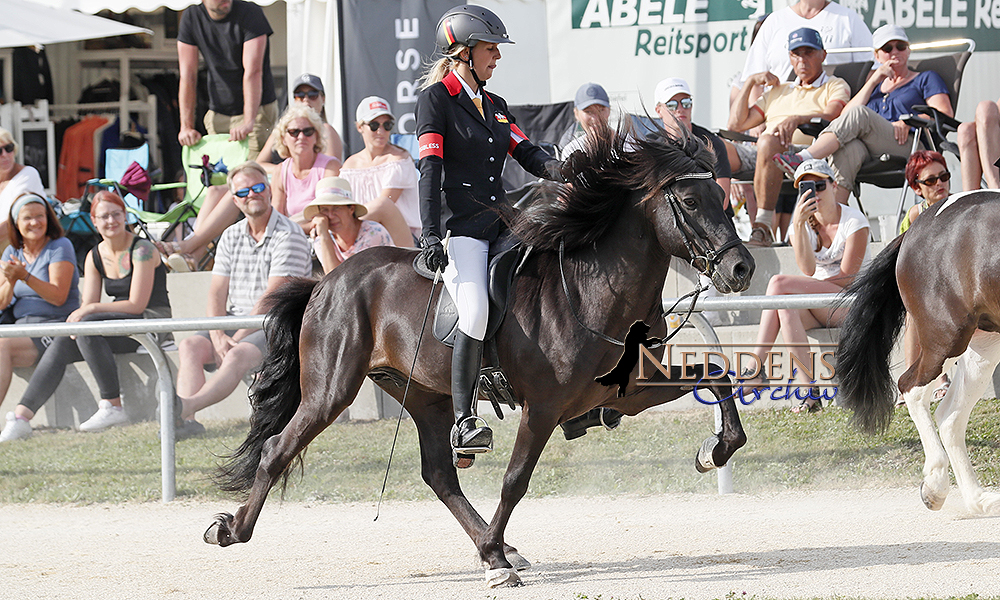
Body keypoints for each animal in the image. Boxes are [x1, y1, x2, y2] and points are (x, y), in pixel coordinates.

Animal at [203, 125, 752, 584]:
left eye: (723, 197)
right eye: (690, 200)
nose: (742, 268)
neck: (591, 291)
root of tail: (326, 280)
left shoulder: (624, 394)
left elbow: (715, 373)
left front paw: (715, 450)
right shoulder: (544, 408)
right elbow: (515, 480)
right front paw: (492, 554)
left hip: (426, 396)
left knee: (440, 475)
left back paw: (501, 550)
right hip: (331, 390)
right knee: (278, 449)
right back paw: (230, 529)